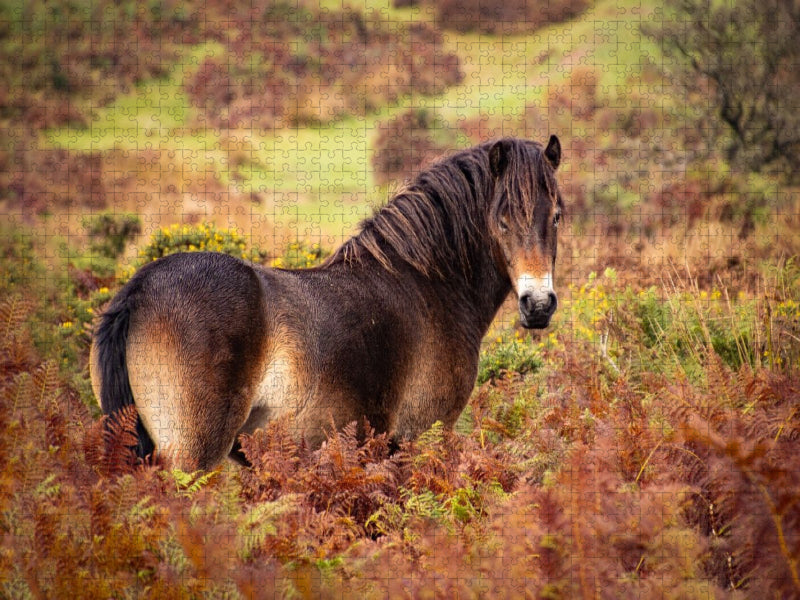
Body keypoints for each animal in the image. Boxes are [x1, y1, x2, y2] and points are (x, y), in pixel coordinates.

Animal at [90, 135, 564, 470]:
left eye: (557, 215)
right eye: (503, 219)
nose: (538, 304)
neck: (427, 286)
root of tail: (139, 291)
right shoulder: (417, 438)